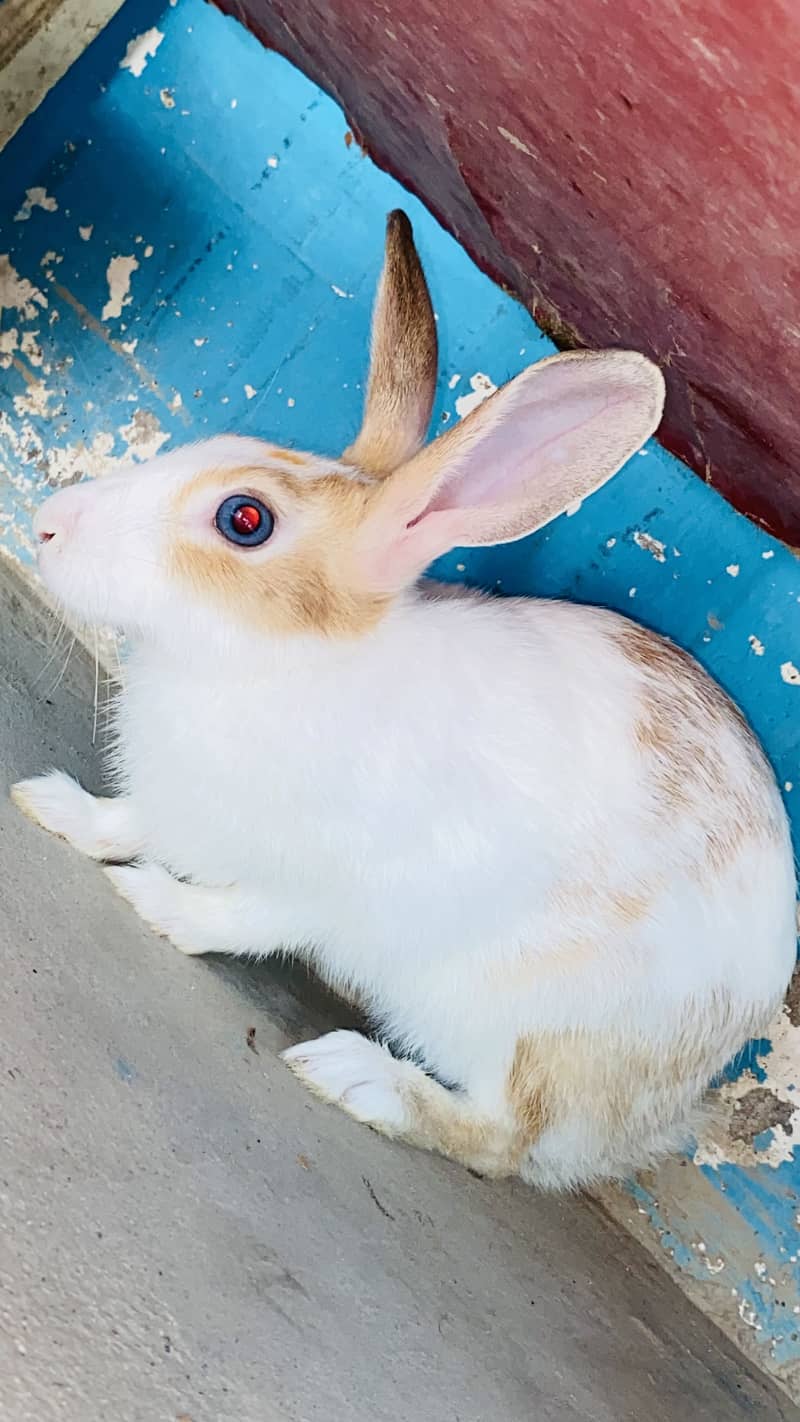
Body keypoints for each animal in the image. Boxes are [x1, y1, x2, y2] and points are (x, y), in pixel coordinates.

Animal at [12, 210, 796, 1191]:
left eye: (243, 519)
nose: (47, 523)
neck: (274, 667)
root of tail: (665, 1114)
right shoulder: (181, 807)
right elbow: (127, 821)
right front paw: (54, 807)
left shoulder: (334, 890)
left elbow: (235, 915)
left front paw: (154, 903)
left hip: (521, 1027)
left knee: (502, 1140)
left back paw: (358, 1078)